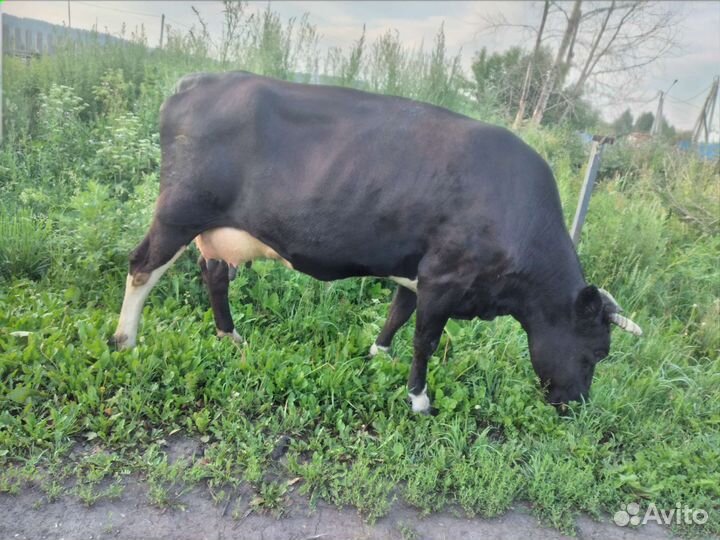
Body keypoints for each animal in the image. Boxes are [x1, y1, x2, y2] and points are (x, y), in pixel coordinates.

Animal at [112, 71, 642, 413]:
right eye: (598, 352)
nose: (576, 406)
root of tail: (197, 82)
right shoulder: (445, 277)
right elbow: (426, 339)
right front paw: (418, 398)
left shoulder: (417, 271)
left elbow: (397, 315)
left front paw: (379, 355)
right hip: (179, 211)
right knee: (142, 266)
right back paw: (125, 341)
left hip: (218, 229)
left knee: (215, 274)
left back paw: (230, 336)